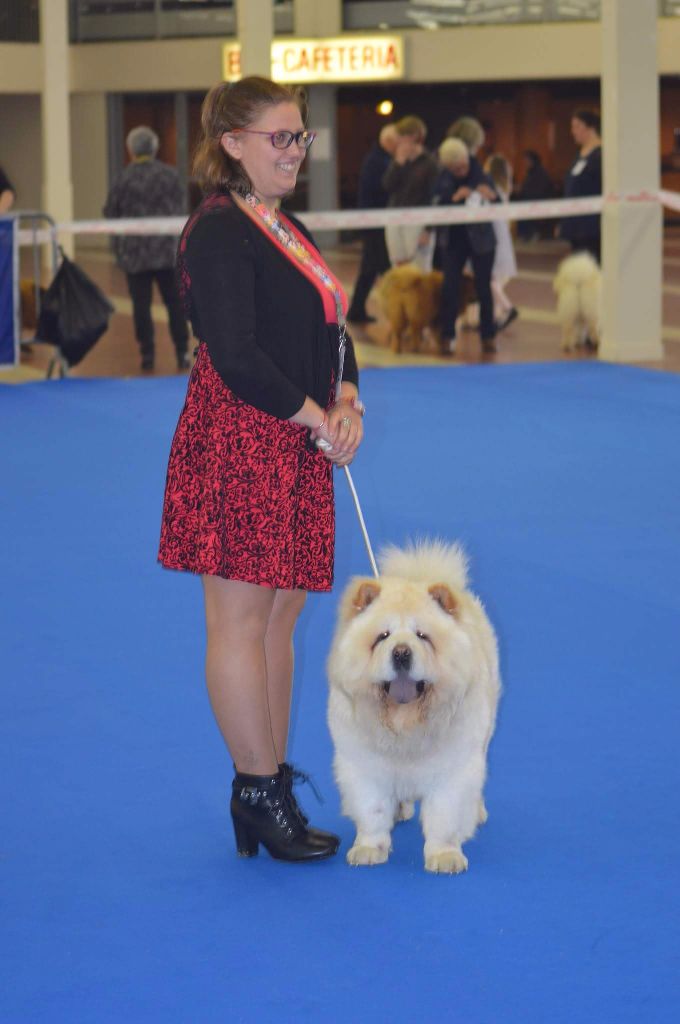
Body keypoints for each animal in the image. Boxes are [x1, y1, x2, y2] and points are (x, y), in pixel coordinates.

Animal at [327, 540, 500, 875]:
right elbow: (372, 810)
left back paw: (479, 812)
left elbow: (445, 815)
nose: (401, 652)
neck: (405, 724)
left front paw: (445, 856)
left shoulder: (452, 769)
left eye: (423, 636)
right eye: (382, 637)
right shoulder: (364, 765)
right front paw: (369, 850)